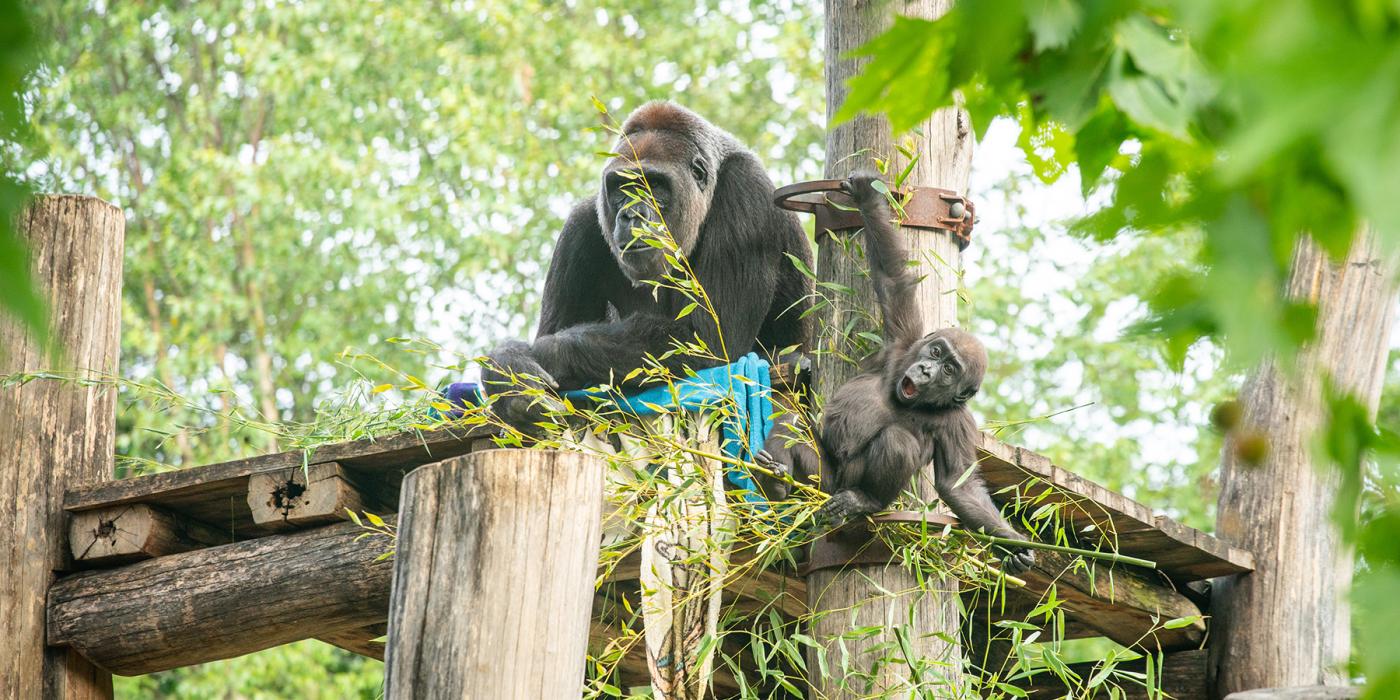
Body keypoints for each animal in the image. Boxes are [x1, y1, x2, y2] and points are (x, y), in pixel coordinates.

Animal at [481, 100, 812, 425]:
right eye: (622, 188)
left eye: (654, 185)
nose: (631, 215)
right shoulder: (580, 224)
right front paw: (507, 364)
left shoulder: (747, 191)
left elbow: (708, 341)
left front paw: (537, 355)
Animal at [761, 170, 1036, 574]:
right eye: (935, 351)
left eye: (949, 369)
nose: (925, 369)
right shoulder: (903, 343)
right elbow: (893, 279)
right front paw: (867, 197)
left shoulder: (960, 422)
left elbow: (959, 484)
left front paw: (1010, 543)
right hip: (820, 483)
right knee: (794, 427)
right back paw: (775, 479)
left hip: (841, 494)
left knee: (897, 443)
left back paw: (864, 501)